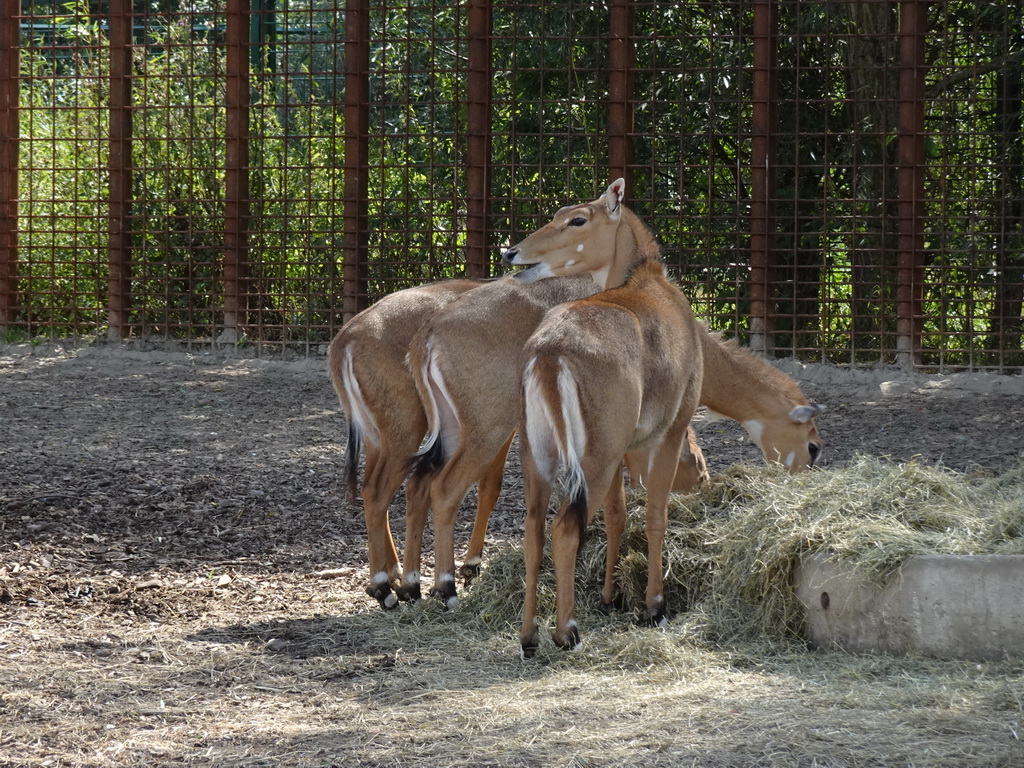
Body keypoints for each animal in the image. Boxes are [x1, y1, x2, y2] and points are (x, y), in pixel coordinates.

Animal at [520, 256, 704, 659]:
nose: (704, 475)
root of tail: (549, 351)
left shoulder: (621, 452)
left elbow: (616, 516)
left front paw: (610, 596)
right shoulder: (668, 434)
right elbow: (655, 516)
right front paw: (654, 606)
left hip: (539, 459)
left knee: (533, 531)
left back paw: (528, 638)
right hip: (594, 462)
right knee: (564, 529)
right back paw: (567, 633)